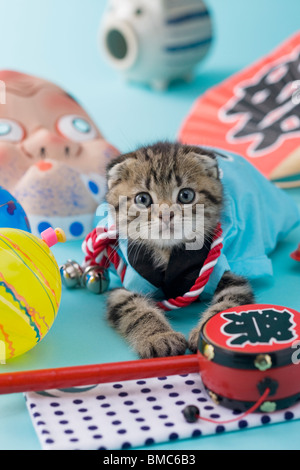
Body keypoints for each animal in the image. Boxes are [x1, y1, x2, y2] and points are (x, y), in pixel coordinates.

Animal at [104, 141, 254, 358]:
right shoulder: (125, 287)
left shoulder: (228, 278)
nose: (166, 214)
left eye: (186, 195)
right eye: (142, 199)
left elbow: (226, 305)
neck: (167, 252)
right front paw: (159, 337)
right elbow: (136, 310)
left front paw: (205, 336)